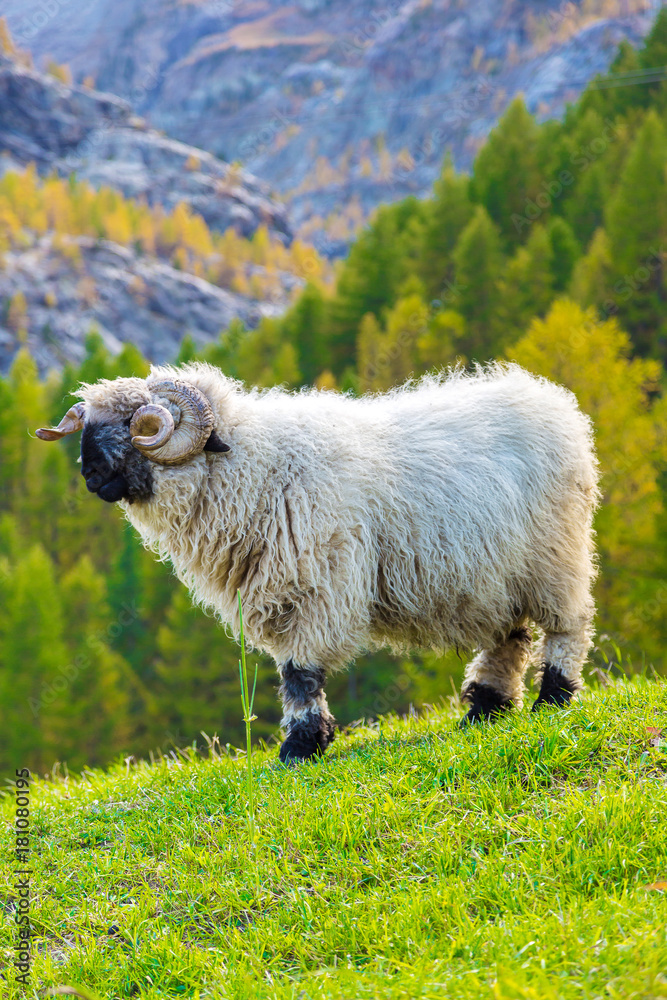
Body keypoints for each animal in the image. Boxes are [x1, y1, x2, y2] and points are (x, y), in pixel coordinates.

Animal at [37, 362, 600, 762]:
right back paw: (486, 708)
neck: (255, 468)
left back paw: (554, 697)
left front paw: (301, 747)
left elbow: (299, 671)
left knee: (569, 624)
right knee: (509, 636)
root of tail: (553, 401)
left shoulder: (318, 586)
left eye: (138, 425)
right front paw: (305, 742)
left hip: (555, 555)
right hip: (497, 573)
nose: (89, 476)